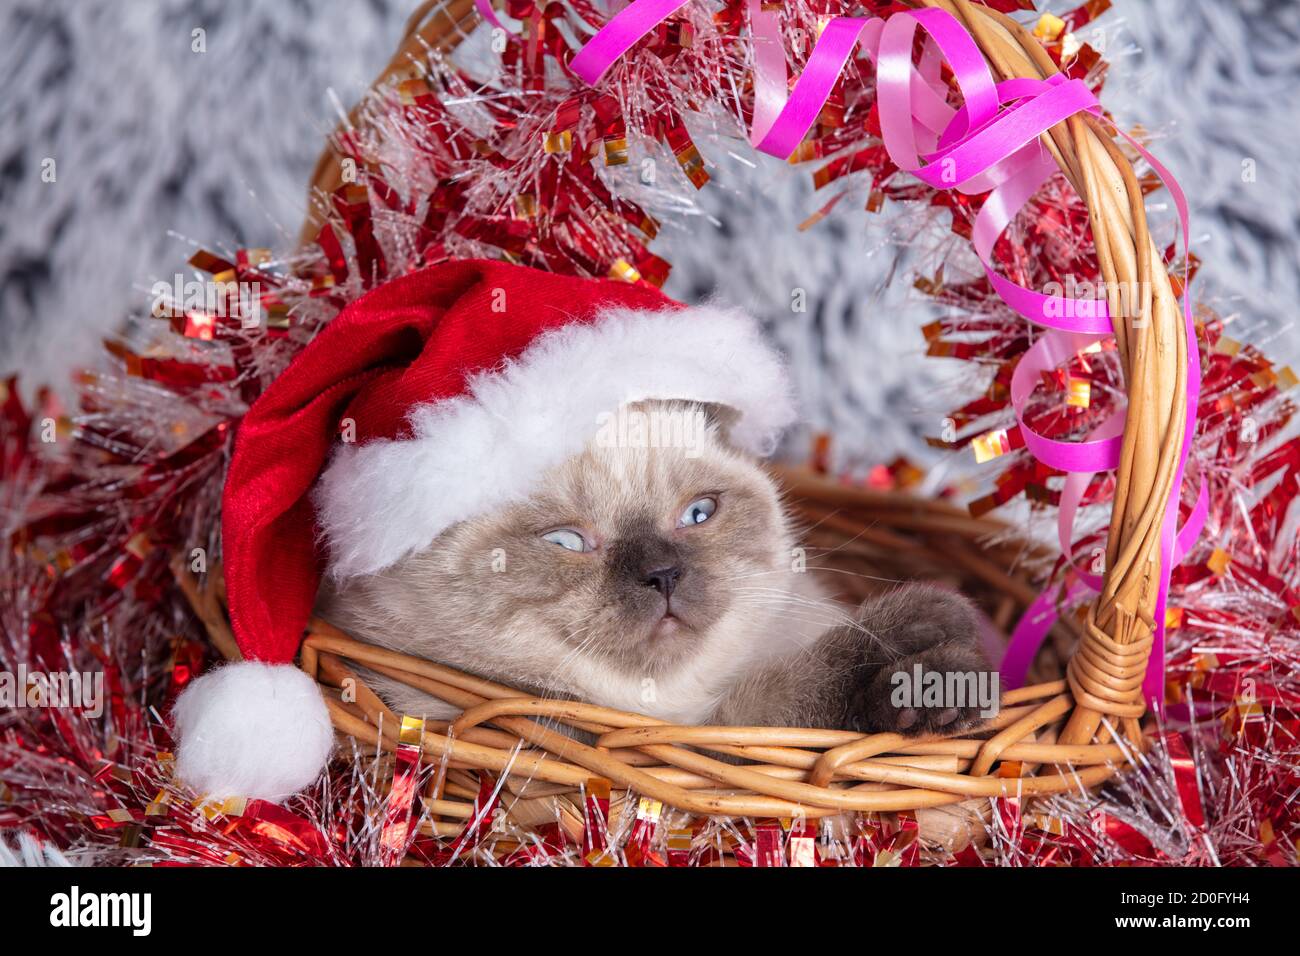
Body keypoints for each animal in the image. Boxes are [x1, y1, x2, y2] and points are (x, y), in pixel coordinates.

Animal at [317, 400, 993, 738]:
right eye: (566, 541)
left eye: (697, 514)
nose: (664, 574)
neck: (674, 710)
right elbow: (797, 688)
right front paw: (932, 646)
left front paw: (943, 684)